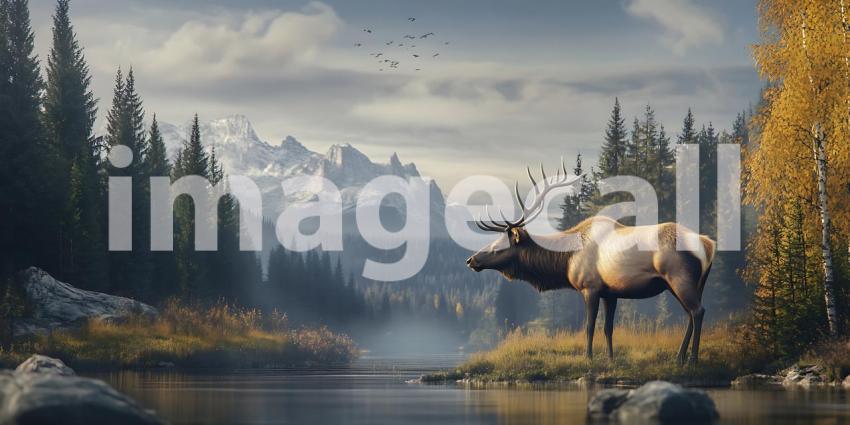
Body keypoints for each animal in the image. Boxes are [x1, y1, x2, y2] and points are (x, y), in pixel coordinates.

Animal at [465, 162, 716, 365]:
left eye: (498, 247)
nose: (471, 260)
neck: (566, 261)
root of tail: (708, 244)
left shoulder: (590, 287)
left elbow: (589, 327)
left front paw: (589, 358)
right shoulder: (611, 293)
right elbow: (608, 328)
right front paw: (611, 359)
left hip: (679, 278)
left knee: (698, 311)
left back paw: (692, 360)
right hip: (688, 285)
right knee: (690, 314)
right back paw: (679, 357)